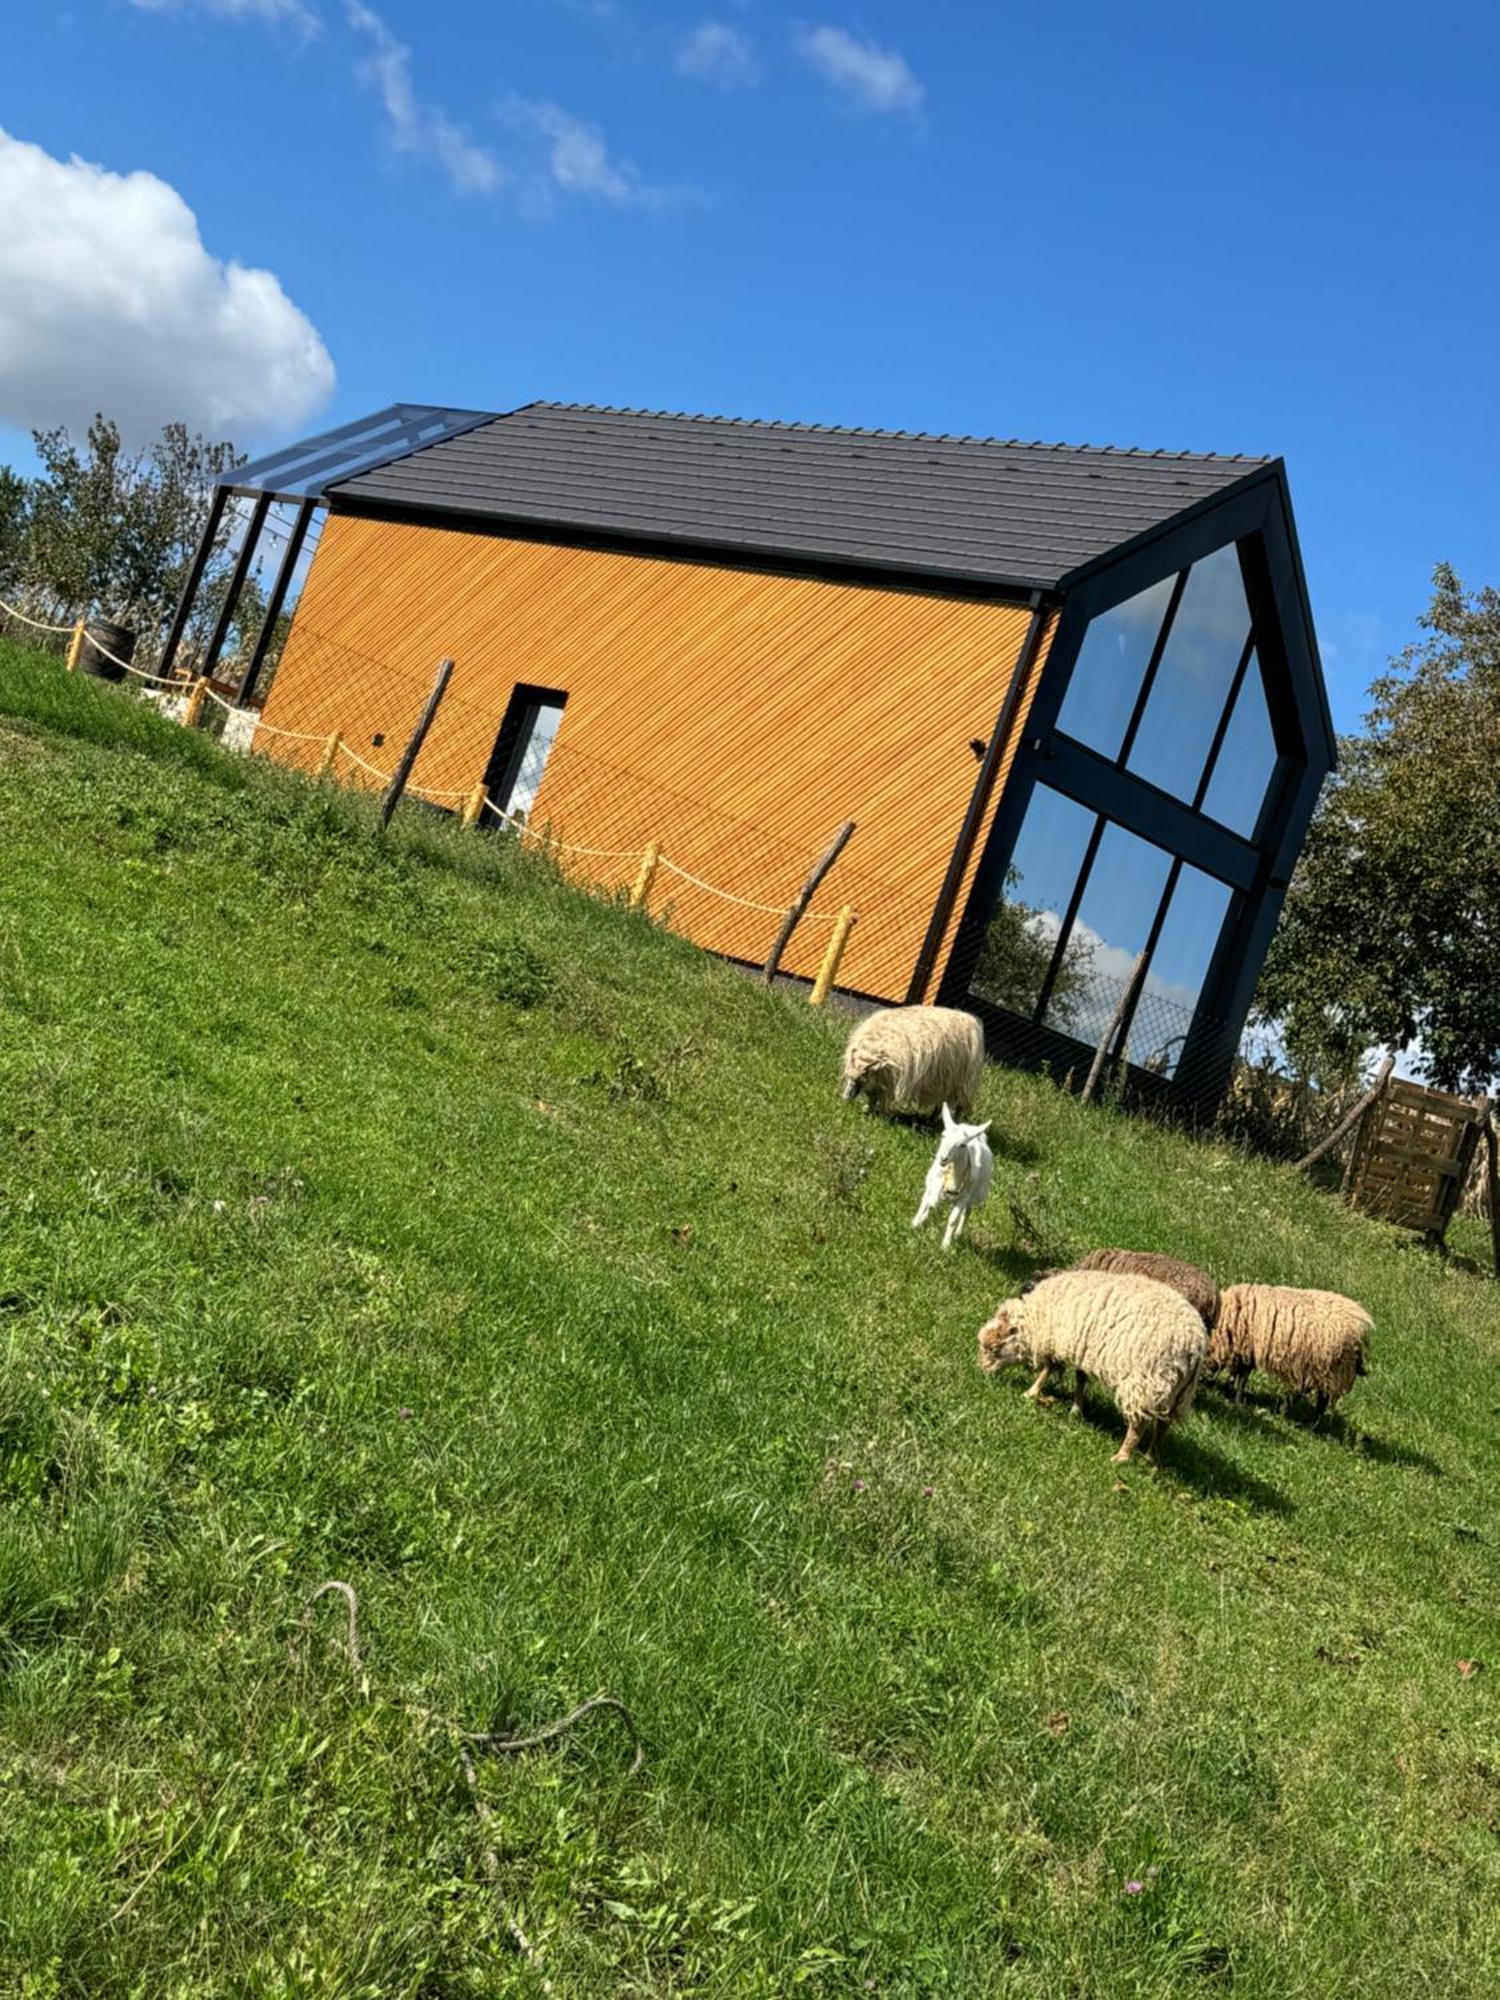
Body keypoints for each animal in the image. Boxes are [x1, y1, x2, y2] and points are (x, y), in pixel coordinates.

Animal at [840, 1000, 992, 1128]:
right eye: (848, 1076)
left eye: (862, 1079)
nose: (845, 1098)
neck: (872, 1049)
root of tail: (970, 1018)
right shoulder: (880, 1080)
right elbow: (872, 1097)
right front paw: (867, 1109)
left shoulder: (888, 1080)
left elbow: (878, 1097)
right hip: (945, 1083)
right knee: (941, 1103)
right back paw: (931, 1121)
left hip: (965, 1083)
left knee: (960, 1106)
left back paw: (954, 1124)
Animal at [916, 1112, 1000, 1248]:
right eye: (943, 1135)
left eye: (962, 1145)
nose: (943, 1158)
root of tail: (970, 1127)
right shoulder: (935, 1183)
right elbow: (929, 1203)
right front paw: (916, 1223)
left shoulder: (964, 1196)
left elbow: (953, 1220)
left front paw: (945, 1245)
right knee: (926, 1201)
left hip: (975, 1195)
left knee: (967, 1212)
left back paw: (957, 1234)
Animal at [976, 1272, 1208, 1464]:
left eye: (994, 1348)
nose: (982, 1372)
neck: (1039, 1318)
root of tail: (1193, 1342)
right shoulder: (1083, 1349)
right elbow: (1081, 1379)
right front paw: (1076, 1409)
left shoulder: (1060, 1340)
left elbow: (1048, 1369)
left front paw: (1031, 1393)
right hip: (1176, 1389)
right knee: (1163, 1422)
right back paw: (1150, 1458)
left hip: (1145, 1379)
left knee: (1140, 1422)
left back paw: (1122, 1457)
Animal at [1208, 1288, 1376, 1416]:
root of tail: (1361, 1330)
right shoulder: (1247, 1352)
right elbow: (1238, 1375)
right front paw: (1230, 1390)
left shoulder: (1246, 1349)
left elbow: (1241, 1377)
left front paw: (1235, 1398)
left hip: (1331, 1369)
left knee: (1319, 1399)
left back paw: (1301, 1418)